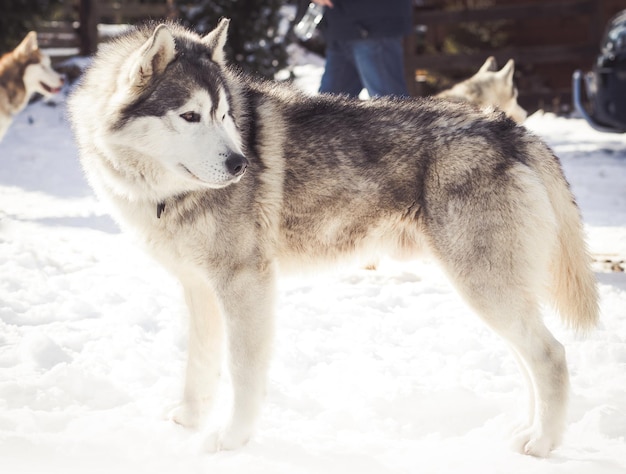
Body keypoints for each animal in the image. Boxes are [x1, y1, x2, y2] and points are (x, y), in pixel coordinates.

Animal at [68, 20, 596, 458]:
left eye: (223, 115)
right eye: (191, 116)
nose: (242, 164)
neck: (165, 193)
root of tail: (511, 130)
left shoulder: (245, 286)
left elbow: (242, 370)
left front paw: (232, 440)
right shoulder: (198, 288)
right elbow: (198, 366)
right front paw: (189, 422)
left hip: (483, 287)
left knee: (551, 356)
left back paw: (543, 445)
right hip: (493, 292)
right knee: (529, 359)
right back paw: (525, 432)